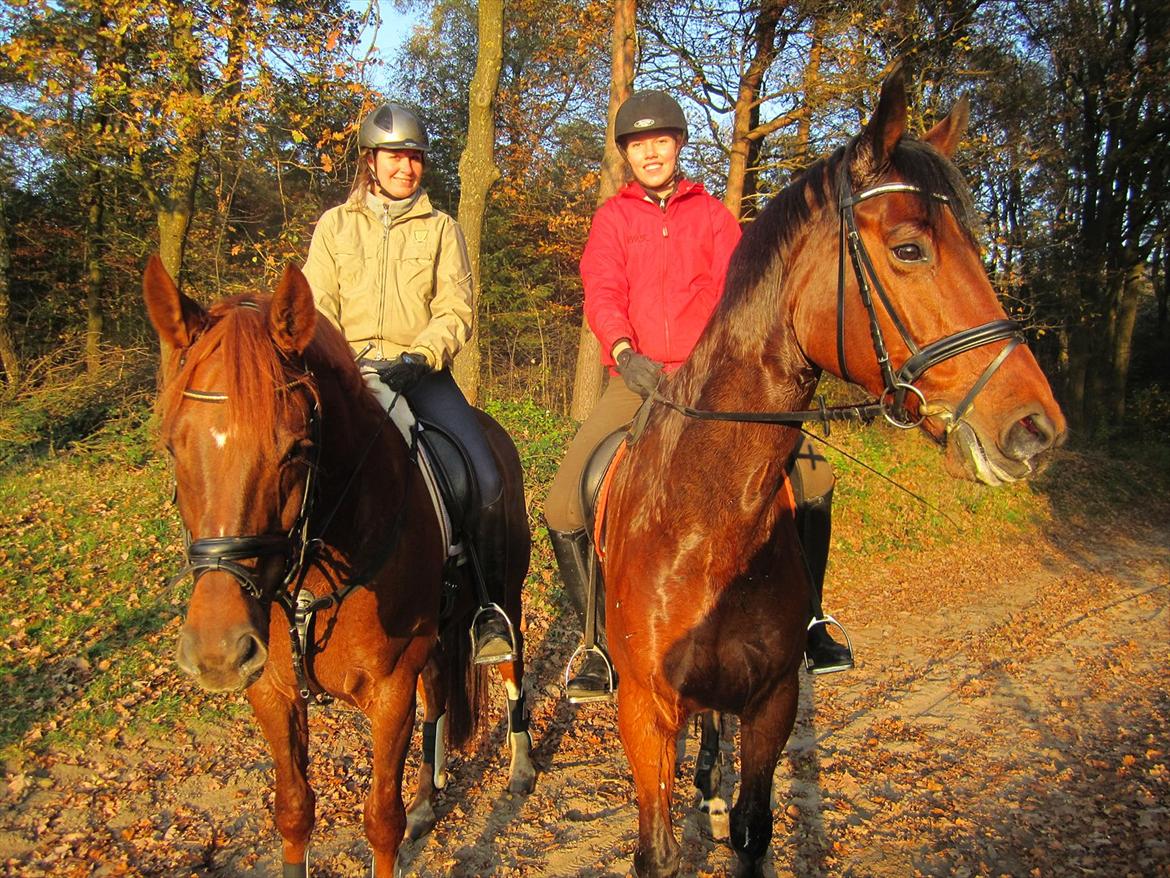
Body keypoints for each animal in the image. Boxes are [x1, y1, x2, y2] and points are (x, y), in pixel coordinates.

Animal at [143, 256, 535, 878]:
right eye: (173, 446)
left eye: (296, 448)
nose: (218, 652)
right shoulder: (273, 691)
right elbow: (294, 812)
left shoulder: (391, 688)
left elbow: (381, 822)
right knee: (439, 696)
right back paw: (428, 797)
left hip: (505, 594)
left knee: (512, 665)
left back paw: (521, 767)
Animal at [603, 65, 1071, 875]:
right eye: (910, 249)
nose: (1036, 430)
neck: (704, 523)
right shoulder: (645, 710)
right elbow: (656, 849)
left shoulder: (771, 706)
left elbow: (754, 832)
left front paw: (726, 808)